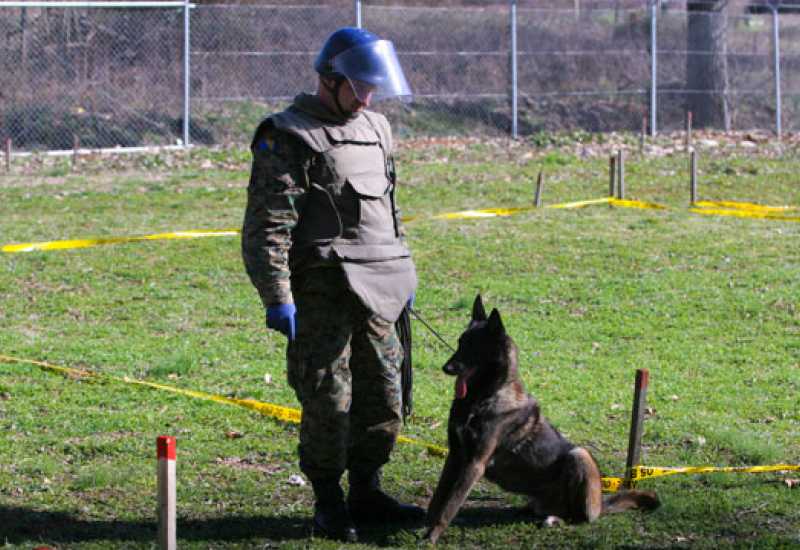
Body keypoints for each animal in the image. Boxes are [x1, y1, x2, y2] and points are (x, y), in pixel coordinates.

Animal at [422, 296, 660, 544]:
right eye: (460, 343)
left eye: (473, 346)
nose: (446, 368)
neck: (483, 397)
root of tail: (601, 505)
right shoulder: (455, 456)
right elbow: (438, 499)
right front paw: (424, 525)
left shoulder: (474, 463)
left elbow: (450, 505)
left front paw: (432, 535)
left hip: (579, 455)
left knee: (579, 517)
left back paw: (556, 519)